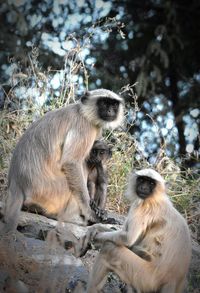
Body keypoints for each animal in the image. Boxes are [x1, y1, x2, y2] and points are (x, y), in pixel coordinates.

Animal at [1, 89, 123, 230]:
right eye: (103, 103)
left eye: (113, 104)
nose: (110, 110)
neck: (83, 112)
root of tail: (16, 183)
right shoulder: (84, 127)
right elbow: (71, 162)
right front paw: (92, 213)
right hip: (51, 190)